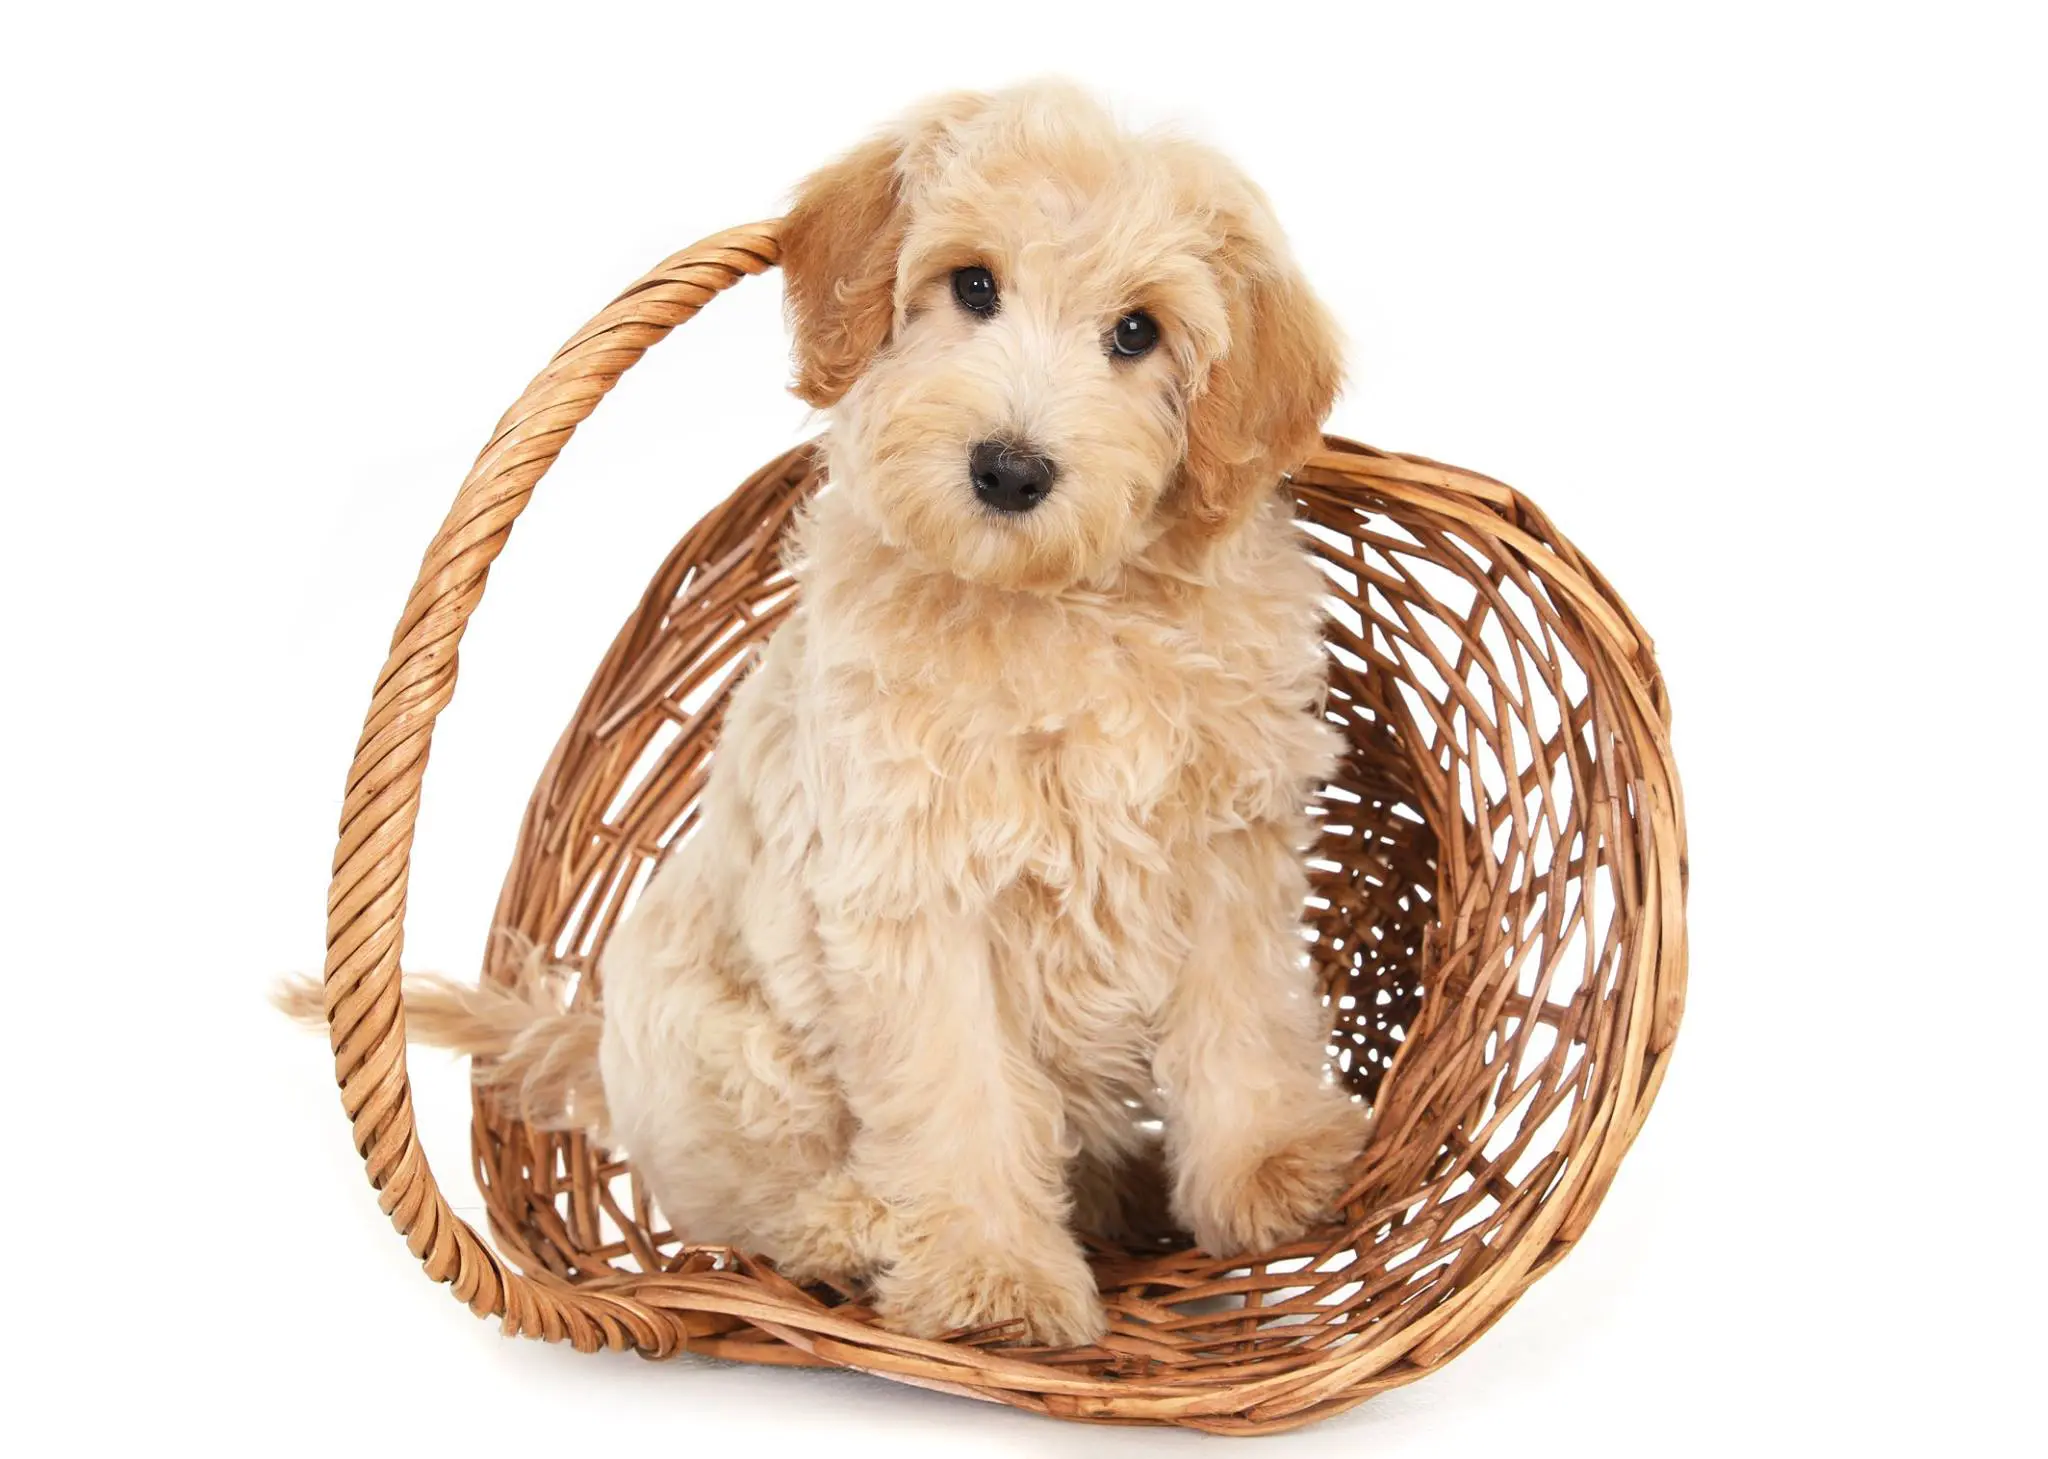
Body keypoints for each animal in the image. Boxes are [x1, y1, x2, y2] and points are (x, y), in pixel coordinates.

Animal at [354, 82, 1368, 1344]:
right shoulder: (914, 893)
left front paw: (1272, 1173)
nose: (1008, 469)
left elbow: (1241, 1019)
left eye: (1137, 333)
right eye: (972, 285)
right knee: (750, 1207)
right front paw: (992, 1279)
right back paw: (857, 1226)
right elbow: (958, 1096)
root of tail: (595, 1050)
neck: (1056, 605)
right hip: (727, 1052)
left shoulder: (1225, 842)